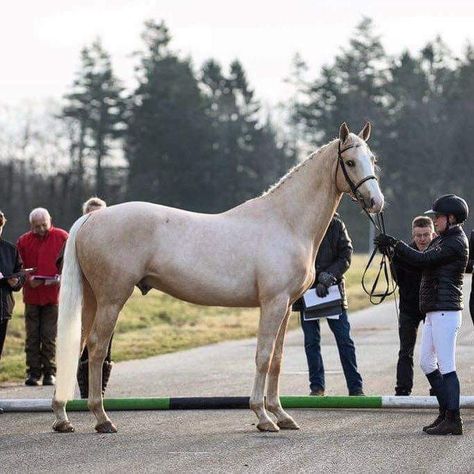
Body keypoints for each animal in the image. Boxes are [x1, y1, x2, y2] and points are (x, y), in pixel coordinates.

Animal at [52, 121, 386, 434]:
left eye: (372, 159)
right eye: (351, 162)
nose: (376, 202)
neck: (286, 222)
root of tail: (92, 217)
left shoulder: (286, 306)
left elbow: (277, 360)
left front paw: (281, 415)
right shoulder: (273, 303)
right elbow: (263, 356)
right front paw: (263, 417)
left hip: (92, 299)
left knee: (78, 345)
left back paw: (63, 417)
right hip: (112, 298)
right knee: (96, 348)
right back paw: (102, 418)